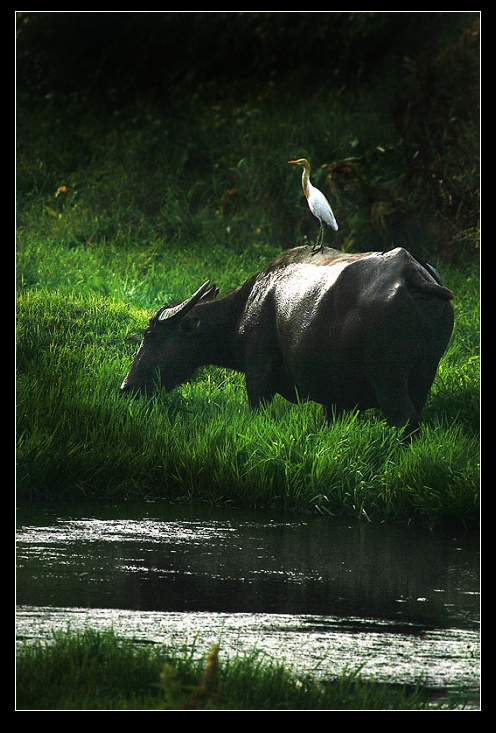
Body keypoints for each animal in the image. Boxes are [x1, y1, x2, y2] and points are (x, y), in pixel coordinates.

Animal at [120, 244, 454, 434]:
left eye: (150, 335)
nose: (126, 386)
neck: (247, 306)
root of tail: (413, 276)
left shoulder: (258, 374)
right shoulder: (333, 396)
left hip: (388, 379)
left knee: (404, 419)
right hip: (424, 376)